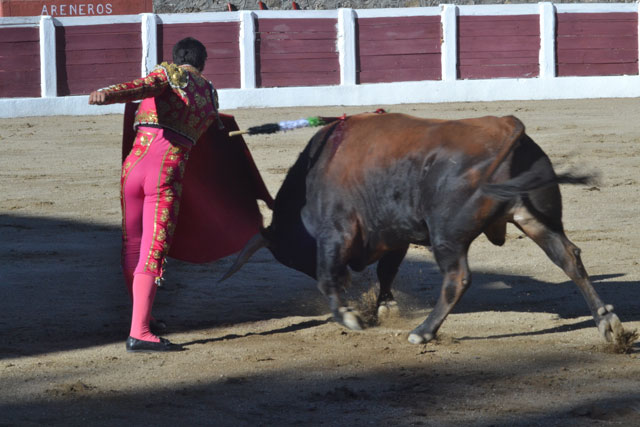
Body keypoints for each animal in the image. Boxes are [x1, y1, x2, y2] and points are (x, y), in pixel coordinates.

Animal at [221, 112, 624, 346]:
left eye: (290, 256)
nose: (350, 279)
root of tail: (509, 128)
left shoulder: (336, 232)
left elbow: (325, 276)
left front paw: (351, 316)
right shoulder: (394, 234)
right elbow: (386, 271)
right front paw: (381, 308)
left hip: (447, 235)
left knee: (457, 278)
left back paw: (423, 332)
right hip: (535, 218)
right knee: (569, 257)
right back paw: (608, 323)